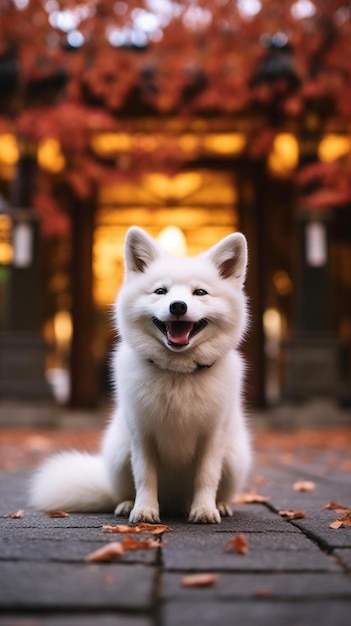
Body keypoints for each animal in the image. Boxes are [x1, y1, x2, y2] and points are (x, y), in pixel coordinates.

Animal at [29, 225, 250, 520]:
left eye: (200, 293)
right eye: (160, 291)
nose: (177, 305)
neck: (177, 375)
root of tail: (175, 503)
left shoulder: (213, 438)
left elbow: (206, 477)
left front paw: (204, 510)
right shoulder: (141, 435)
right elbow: (145, 477)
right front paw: (144, 511)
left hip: (234, 460)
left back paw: (219, 506)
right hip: (119, 455)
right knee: (122, 492)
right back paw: (126, 505)